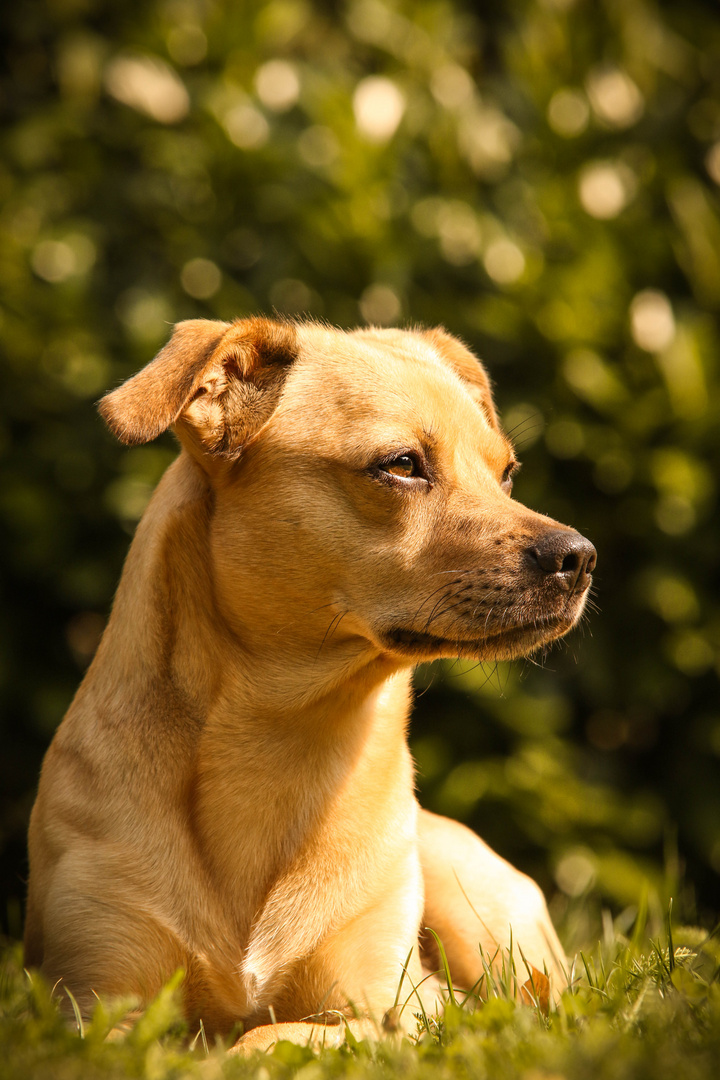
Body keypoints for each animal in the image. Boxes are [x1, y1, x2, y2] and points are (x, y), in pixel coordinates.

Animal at [23, 315, 595, 1049]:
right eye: (402, 465)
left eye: (507, 474)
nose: (579, 557)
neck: (284, 737)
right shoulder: (90, 1006)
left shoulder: (385, 1012)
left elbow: (264, 1038)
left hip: (480, 912)